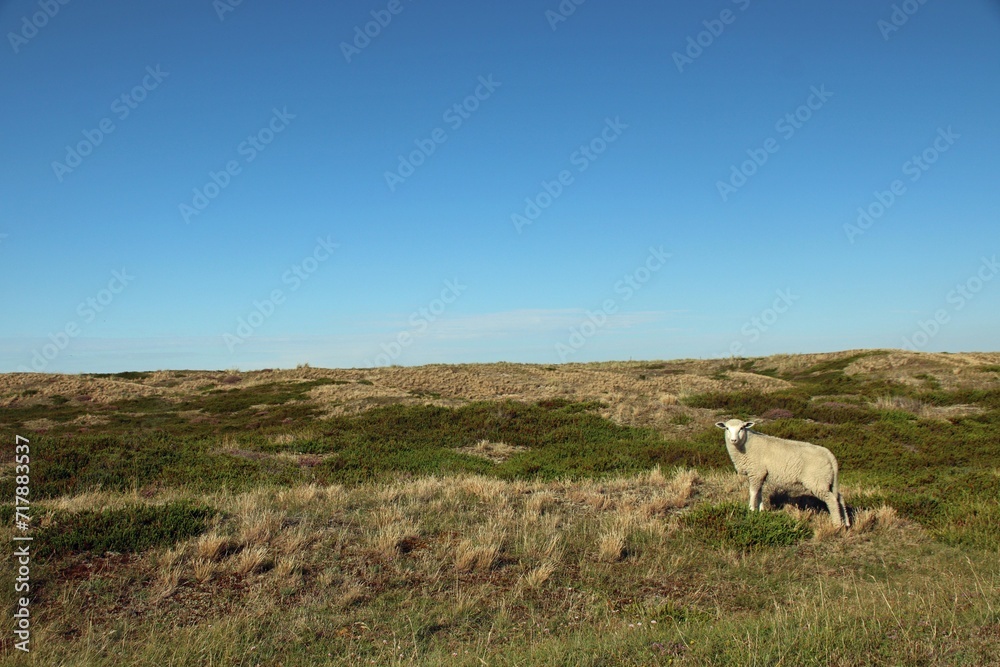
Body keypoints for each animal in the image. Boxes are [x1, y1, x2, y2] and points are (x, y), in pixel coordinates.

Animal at [715, 418, 850, 527]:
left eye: (742, 428)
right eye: (727, 428)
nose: (733, 440)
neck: (746, 445)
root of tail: (829, 455)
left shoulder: (756, 472)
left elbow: (753, 492)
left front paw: (751, 510)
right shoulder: (761, 474)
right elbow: (759, 493)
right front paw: (761, 510)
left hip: (817, 480)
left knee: (832, 500)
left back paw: (837, 525)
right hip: (828, 480)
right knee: (839, 498)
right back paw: (846, 523)